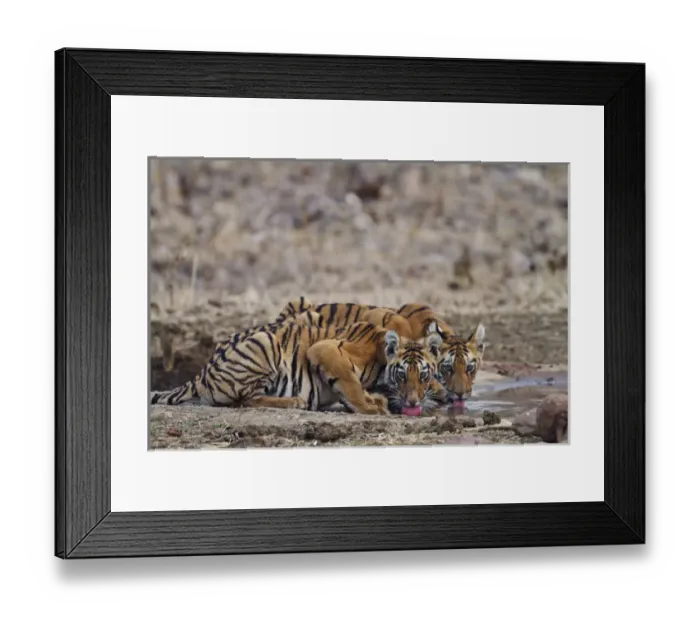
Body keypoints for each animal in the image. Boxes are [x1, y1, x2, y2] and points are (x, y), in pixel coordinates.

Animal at [150, 313, 444, 416]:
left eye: (424, 376)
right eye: (403, 375)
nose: (414, 402)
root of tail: (201, 373)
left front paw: (376, 401)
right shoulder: (325, 349)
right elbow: (352, 385)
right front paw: (371, 408)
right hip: (264, 341)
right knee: (245, 400)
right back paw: (294, 402)